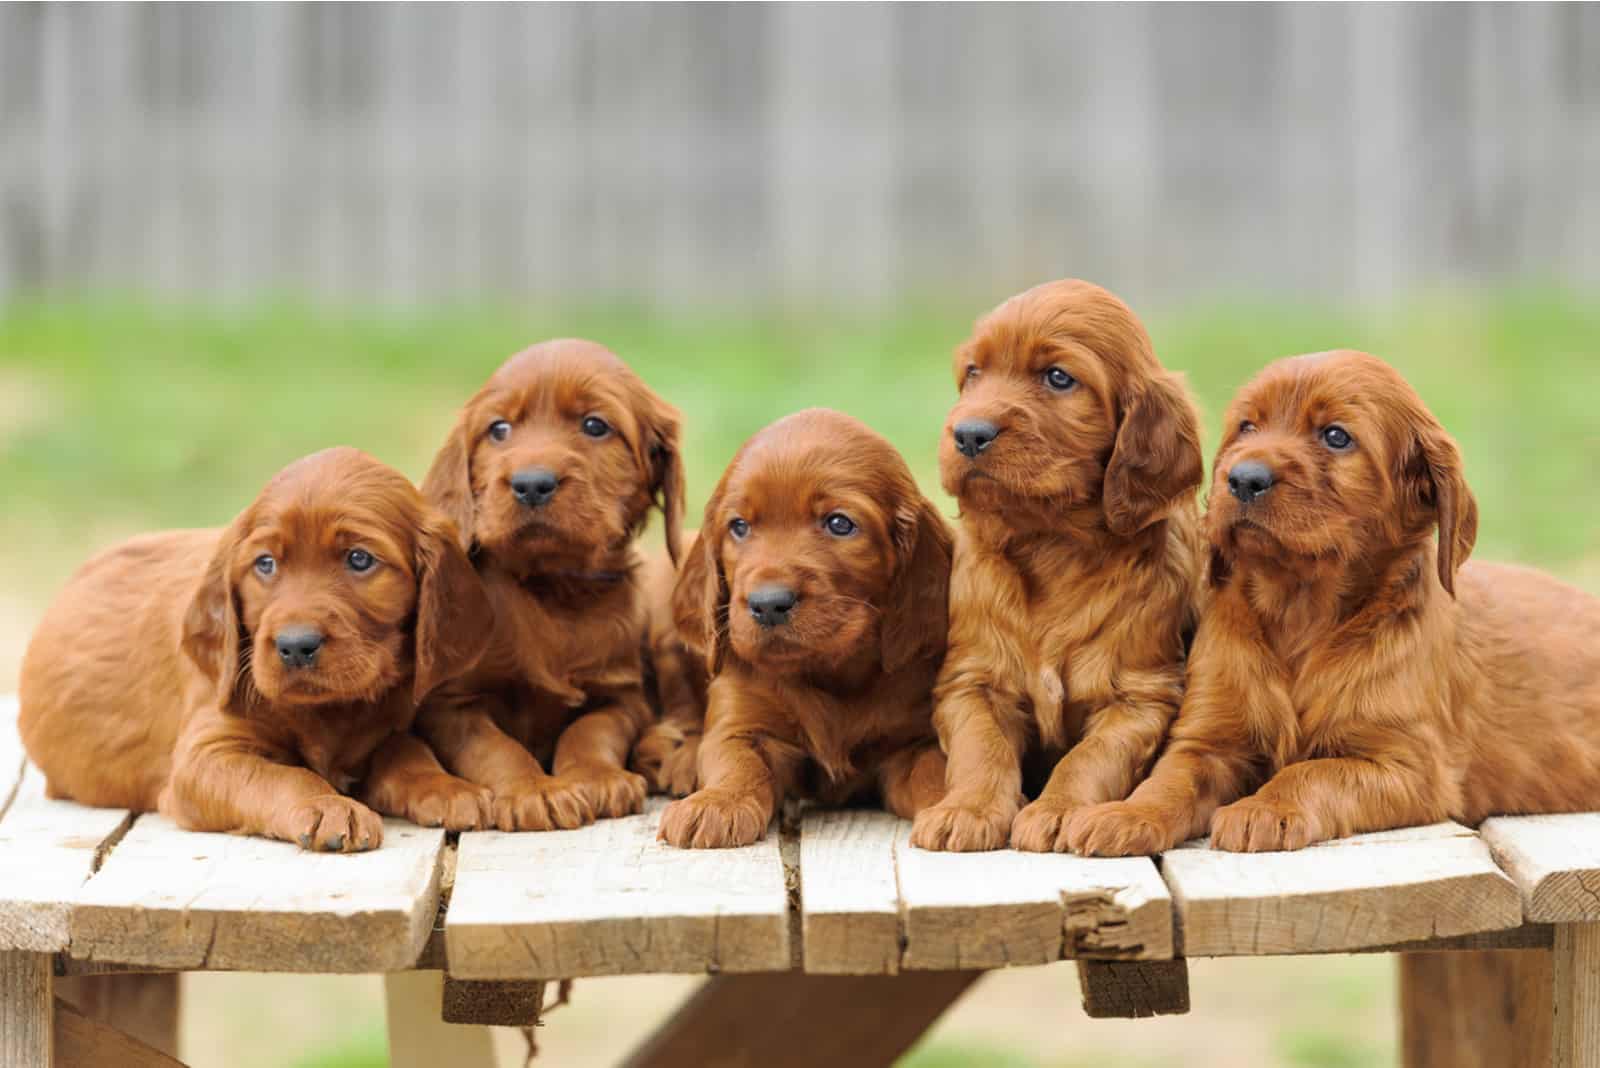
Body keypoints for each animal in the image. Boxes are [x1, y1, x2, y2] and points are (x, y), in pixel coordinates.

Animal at [17, 447, 492, 850]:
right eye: (265, 564)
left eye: (359, 559)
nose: (295, 646)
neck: (330, 710)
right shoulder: (204, 756)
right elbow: (280, 776)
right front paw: (328, 806)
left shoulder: (386, 728)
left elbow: (408, 751)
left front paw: (449, 787)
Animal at [416, 337, 684, 831]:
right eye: (499, 429)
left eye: (595, 425)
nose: (531, 484)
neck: (554, 587)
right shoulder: (450, 702)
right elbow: (496, 746)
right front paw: (534, 789)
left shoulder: (622, 694)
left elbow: (590, 730)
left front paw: (599, 777)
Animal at [652, 409, 947, 850]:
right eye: (739, 526)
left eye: (839, 523)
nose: (767, 603)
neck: (829, 674)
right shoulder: (741, 722)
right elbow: (736, 762)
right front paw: (715, 803)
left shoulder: (913, 739)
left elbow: (934, 767)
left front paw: (960, 802)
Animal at [908, 279, 1203, 856]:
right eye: (973, 373)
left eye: (1059, 377)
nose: (968, 434)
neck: (1052, 545)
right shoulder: (971, 681)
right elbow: (981, 750)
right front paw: (966, 810)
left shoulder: (1141, 696)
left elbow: (1089, 758)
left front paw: (1059, 810)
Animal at [1068, 354, 1600, 856]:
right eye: (1247, 427)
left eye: (1336, 436)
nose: (1242, 479)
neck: (1300, 611)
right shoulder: (1206, 737)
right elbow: (1169, 779)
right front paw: (1125, 815)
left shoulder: (1406, 765)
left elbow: (1313, 772)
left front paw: (1265, 808)